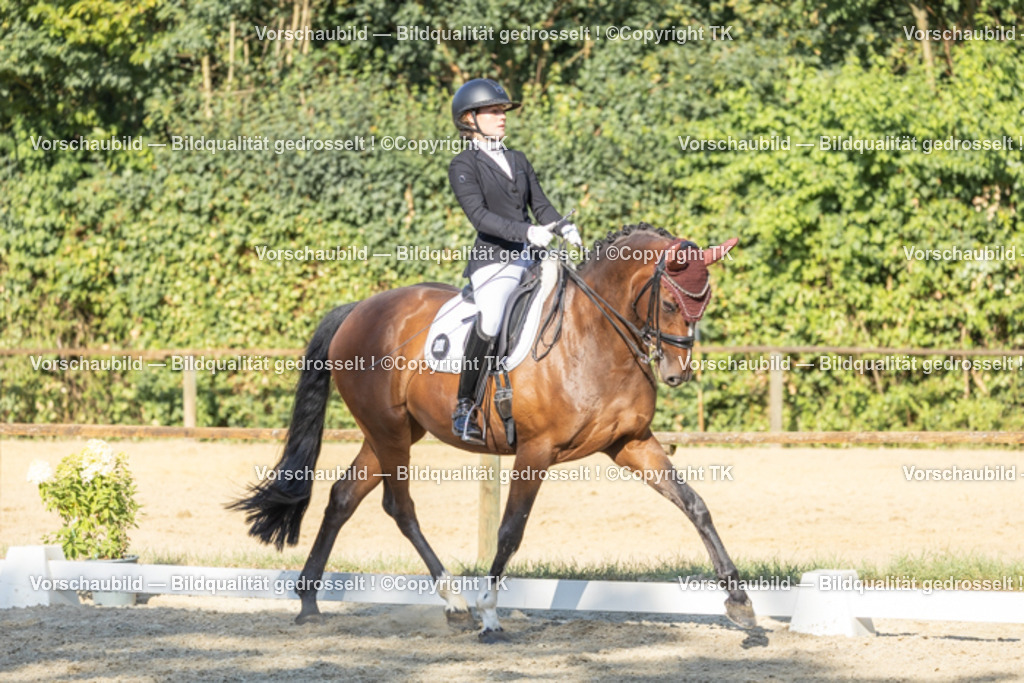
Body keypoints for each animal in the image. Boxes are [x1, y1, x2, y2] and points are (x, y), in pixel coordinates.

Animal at [231, 223, 752, 641]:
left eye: (704, 303)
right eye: (669, 301)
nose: (677, 373)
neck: (594, 336)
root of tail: (360, 308)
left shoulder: (631, 443)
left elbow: (695, 505)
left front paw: (740, 601)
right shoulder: (537, 451)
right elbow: (510, 530)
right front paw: (489, 615)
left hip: (390, 433)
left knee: (343, 497)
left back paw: (308, 602)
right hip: (390, 432)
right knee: (399, 507)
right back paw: (455, 602)